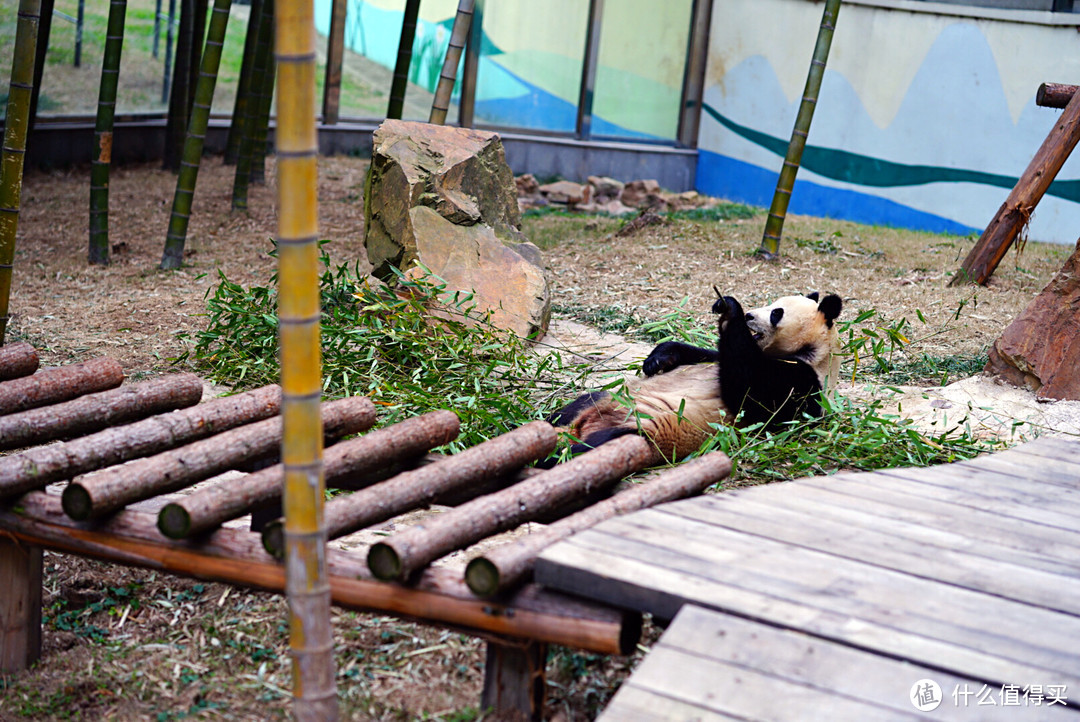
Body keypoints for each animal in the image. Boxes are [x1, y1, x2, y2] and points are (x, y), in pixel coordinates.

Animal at [544, 289, 838, 464]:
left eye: (777, 313)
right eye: (772, 303)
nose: (751, 315)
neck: (812, 352)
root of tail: (582, 427)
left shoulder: (804, 383)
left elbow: (750, 393)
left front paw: (731, 310)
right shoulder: (723, 357)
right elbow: (705, 355)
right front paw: (657, 360)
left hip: (642, 433)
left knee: (590, 448)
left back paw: (555, 453)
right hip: (608, 399)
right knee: (575, 407)